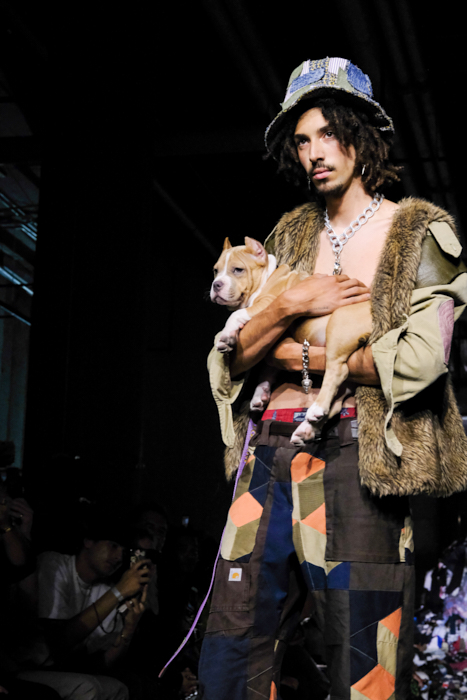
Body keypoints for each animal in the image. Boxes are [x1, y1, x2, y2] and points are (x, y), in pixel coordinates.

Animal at [210, 236, 371, 444]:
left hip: (339, 326)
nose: (216, 284)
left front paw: (225, 336)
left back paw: (316, 409)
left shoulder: (268, 304)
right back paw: (306, 429)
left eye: (238, 270)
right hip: (349, 377)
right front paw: (260, 393)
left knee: (337, 370)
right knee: (336, 401)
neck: (267, 277)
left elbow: (236, 315)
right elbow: (267, 368)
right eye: (215, 270)